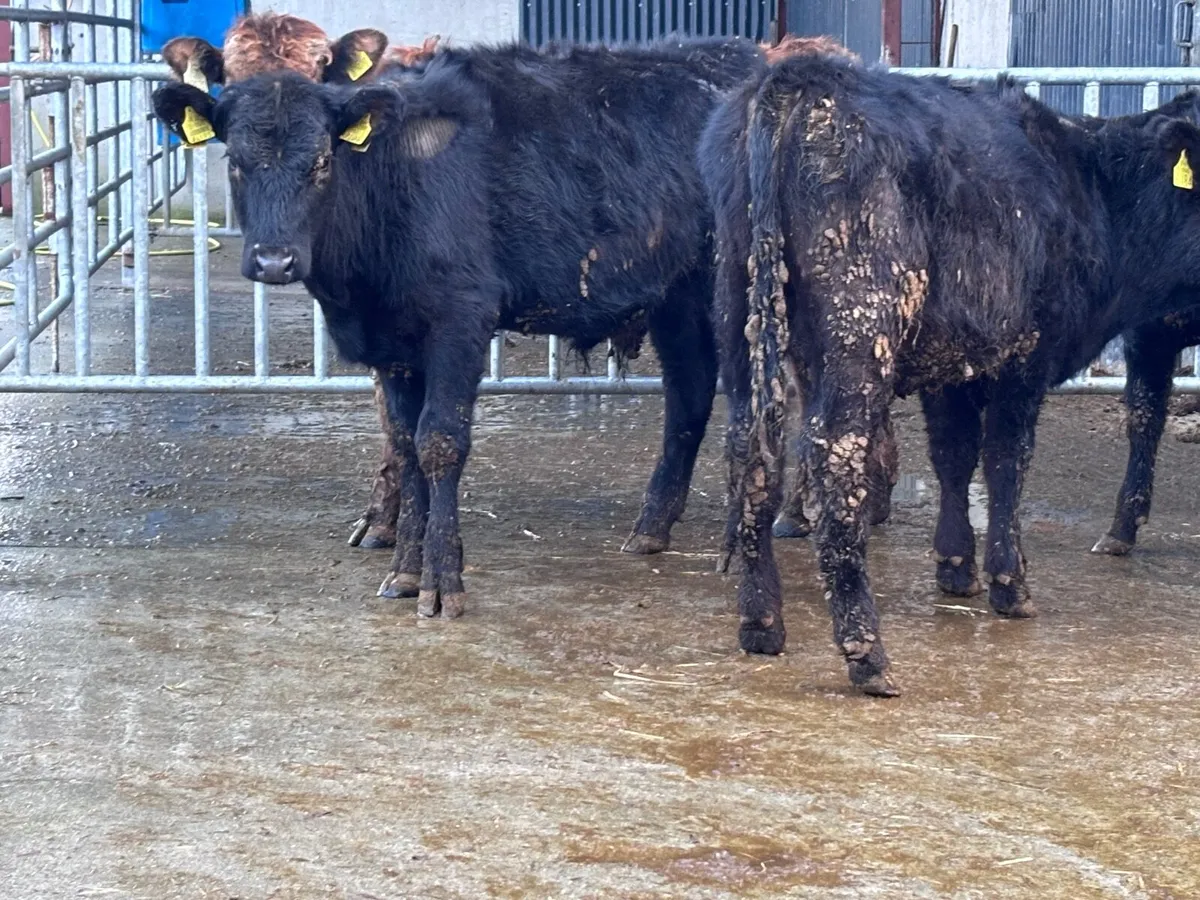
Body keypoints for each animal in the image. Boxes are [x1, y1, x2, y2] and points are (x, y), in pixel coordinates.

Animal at [154, 33, 767, 618]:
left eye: (323, 161)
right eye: (235, 160)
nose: (274, 260)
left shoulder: (460, 319)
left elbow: (439, 442)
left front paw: (441, 582)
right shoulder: (394, 344)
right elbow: (404, 444)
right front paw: (405, 570)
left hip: (734, 291)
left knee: (750, 406)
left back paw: (742, 545)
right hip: (674, 295)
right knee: (689, 394)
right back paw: (652, 527)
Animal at [700, 54, 1200, 695]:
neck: (1091, 187)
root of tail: (800, 77)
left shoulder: (952, 362)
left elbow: (954, 456)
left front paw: (956, 567)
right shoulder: (1025, 353)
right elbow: (1006, 459)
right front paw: (1010, 584)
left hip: (737, 314)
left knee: (750, 452)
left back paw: (761, 623)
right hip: (861, 322)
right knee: (835, 454)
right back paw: (868, 654)